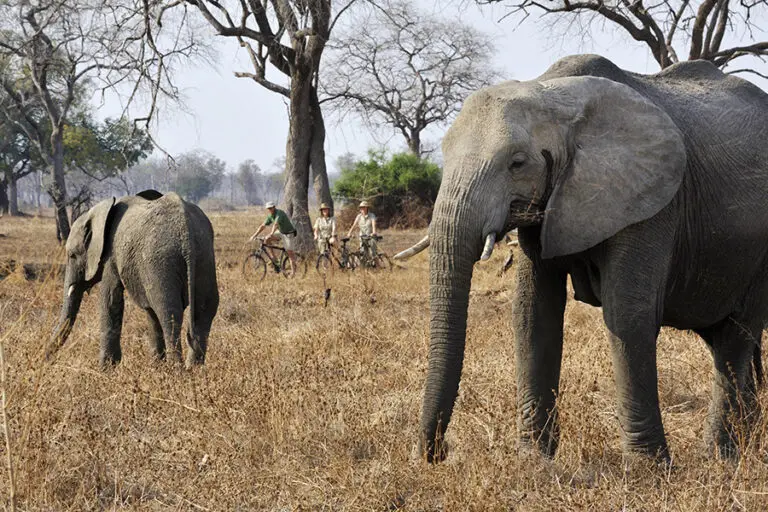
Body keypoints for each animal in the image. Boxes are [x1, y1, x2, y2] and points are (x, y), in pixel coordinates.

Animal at [50, 190, 219, 368]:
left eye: (72, 255)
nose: (48, 360)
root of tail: (187, 234)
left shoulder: (112, 254)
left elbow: (110, 299)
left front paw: (105, 368)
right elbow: (149, 311)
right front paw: (156, 365)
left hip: (162, 261)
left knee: (169, 313)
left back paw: (176, 370)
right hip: (204, 257)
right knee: (204, 312)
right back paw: (194, 369)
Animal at [395, 54, 768, 462]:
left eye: (517, 163)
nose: (435, 454)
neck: (551, 93)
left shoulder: (650, 201)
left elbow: (628, 315)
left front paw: (647, 469)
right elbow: (533, 313)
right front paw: (534, 461)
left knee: (735, 337)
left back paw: (721, 457)